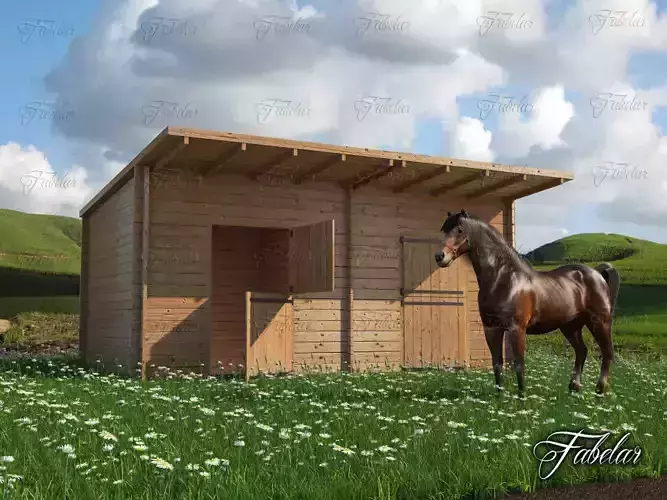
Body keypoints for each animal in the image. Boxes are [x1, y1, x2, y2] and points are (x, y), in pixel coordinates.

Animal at [434, 210, 620, 397]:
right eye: (444, 230)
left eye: (459, 230)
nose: (439, 256)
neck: (504, 279)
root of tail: (597, 273)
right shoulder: (491, 329)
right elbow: (497, 364)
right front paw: (499, 397)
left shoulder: (517, 329)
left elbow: (519, 365)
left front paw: (521, 397)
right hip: (570, 327)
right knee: (582, 351)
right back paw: (574, 388)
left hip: (599, 322)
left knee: (606, 353)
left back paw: (600, 389)